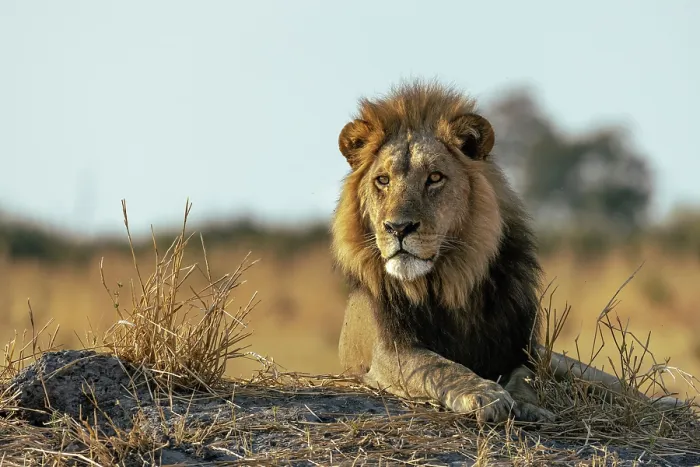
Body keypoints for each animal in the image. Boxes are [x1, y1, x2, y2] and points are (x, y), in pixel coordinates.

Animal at [331, 80, 686, 424]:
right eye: (382, 180)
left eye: (434, 178)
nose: (398, 228)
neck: (450, 281)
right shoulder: (387, 352)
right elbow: (439, 366)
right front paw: (484, 394)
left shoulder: (519, 348)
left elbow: (526, 377)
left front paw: (527, 405)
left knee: (606, 384)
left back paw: (669, 404)